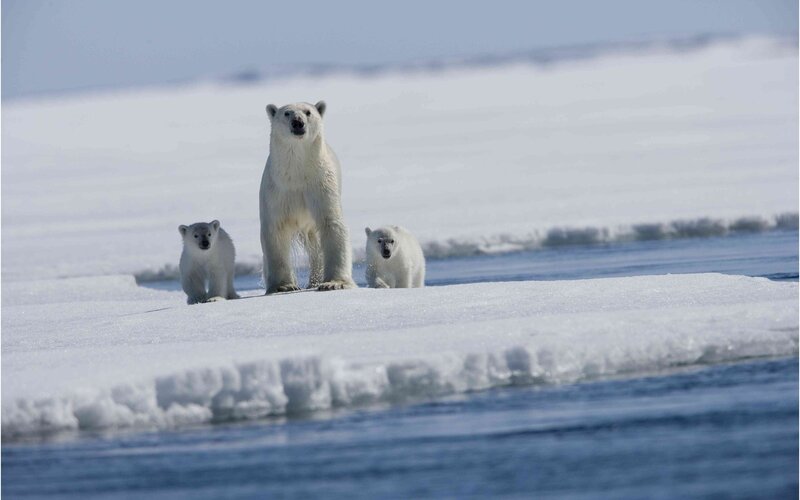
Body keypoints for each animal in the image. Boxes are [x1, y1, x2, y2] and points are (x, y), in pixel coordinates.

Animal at [259, 100, 356, 294]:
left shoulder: (320, 185)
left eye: (308, 112)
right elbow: (275, 230)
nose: (298, 122)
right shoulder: (276, 191)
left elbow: (332, 224)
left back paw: (315, 281)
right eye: (287, 113)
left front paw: (334, 283)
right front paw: (283, 286)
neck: (296, 173)